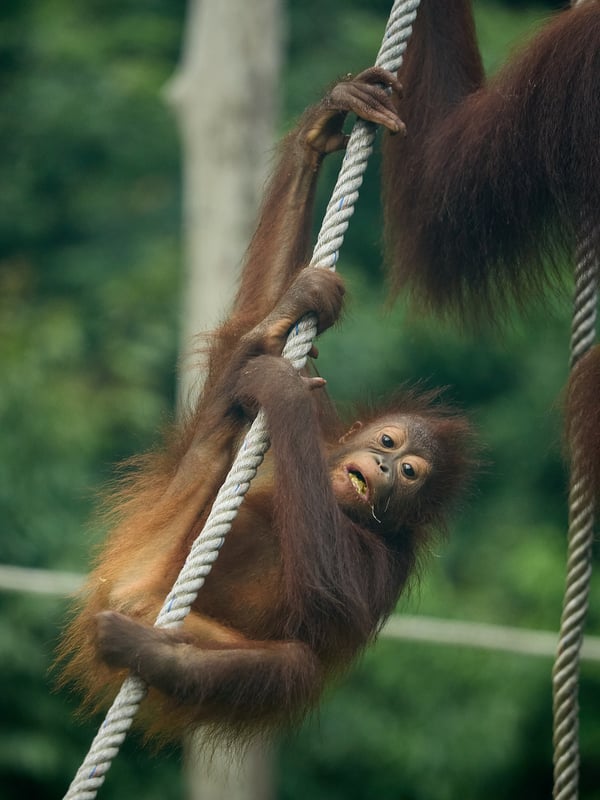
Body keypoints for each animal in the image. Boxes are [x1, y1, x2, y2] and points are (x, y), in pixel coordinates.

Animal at [58, 68, 475, 745]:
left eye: (411, 473)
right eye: (387, 443)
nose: (385, 468)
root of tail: (131, 598)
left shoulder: (391, 564)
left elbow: (332, 594)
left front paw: (280, 387)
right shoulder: (323, 434)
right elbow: (261, 313)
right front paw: (325, 123)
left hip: (152, 596)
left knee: (291, 664)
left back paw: (154, 653)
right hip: (146, 556)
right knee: (227, 396)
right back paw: (270, 332)